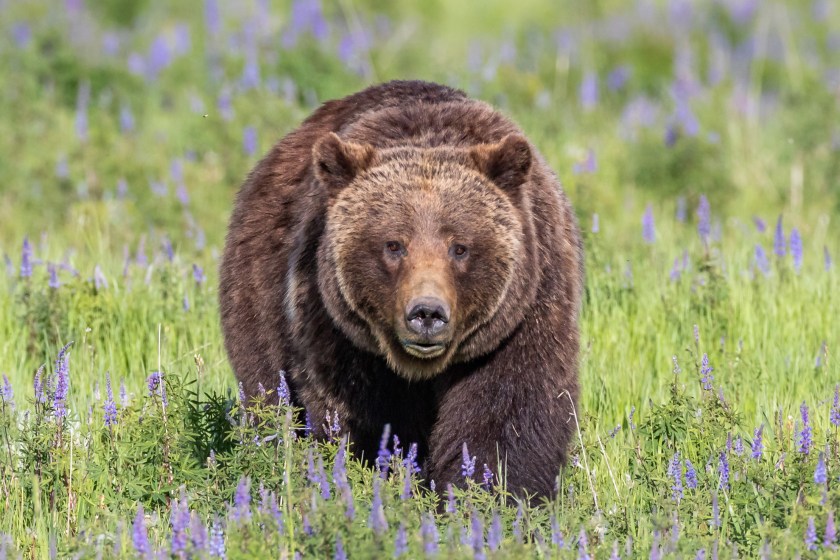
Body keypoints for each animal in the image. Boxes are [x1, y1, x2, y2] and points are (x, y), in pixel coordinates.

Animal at [219, 80, 583, 498]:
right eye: (394, 245)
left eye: (460, 247)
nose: (427, 313)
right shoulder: (337, 328)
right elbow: (363, 415)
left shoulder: (521, 316)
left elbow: (508, 413)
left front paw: (489, 492)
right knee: (265, 384)